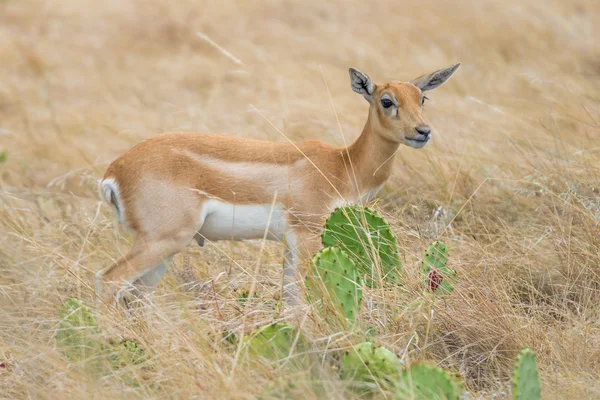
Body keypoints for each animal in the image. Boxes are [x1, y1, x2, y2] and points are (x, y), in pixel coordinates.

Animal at [96, 63, 460, 306]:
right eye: (386, 100)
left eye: (422, 98)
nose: (422, 132)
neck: (343, 165)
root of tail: (114, 170)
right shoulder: (308, 234)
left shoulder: (289, 243)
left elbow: (290, 300)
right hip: (163, 240)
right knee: (109, 281)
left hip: (166, 249)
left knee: (138, 295)